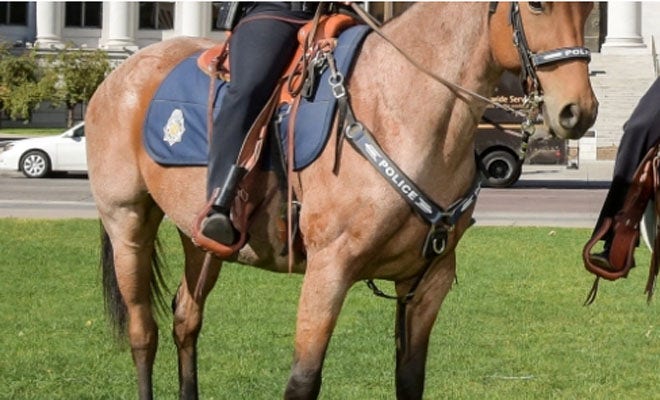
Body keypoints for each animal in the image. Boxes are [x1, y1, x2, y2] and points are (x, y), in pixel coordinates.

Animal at [86, 3, 598, 399]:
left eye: (590, 7)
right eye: (537, 5)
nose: (579, 111)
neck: (399, 108)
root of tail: (121, 74)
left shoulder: (427, 279)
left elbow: (409, 380)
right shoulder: (328, 270)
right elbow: (303, 381)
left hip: (200, 240)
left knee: (185, 320)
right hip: (127, 222)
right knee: (143, 332)